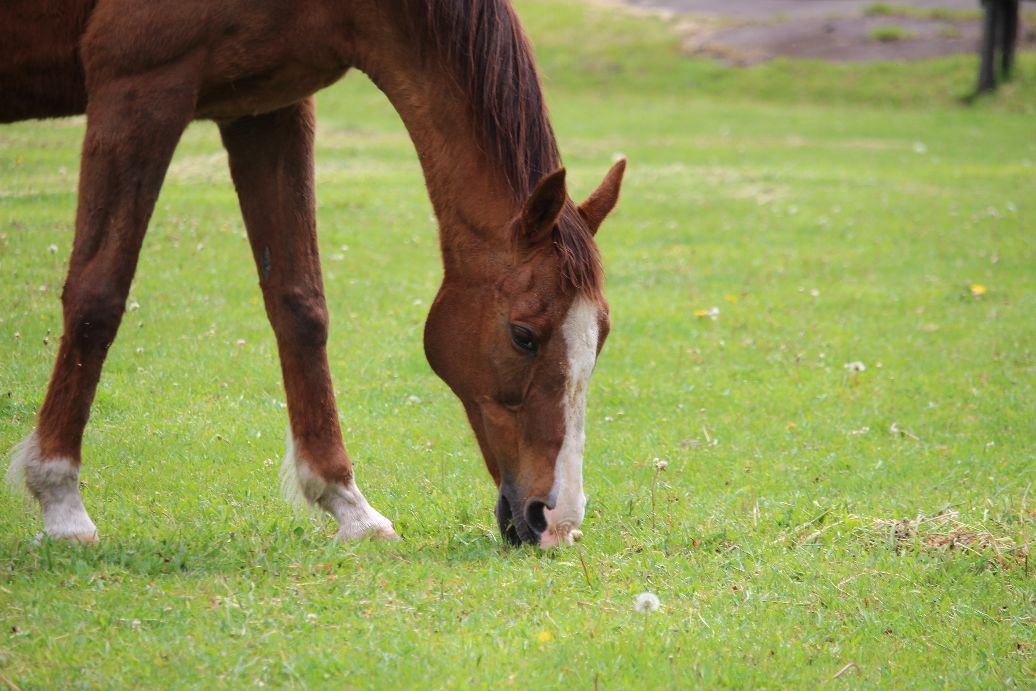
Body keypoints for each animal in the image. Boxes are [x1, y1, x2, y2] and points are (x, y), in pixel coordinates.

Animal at [2, 0, 621, 551]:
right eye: (523, 336)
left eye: (601, 340)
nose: (556, 521)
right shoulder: (138, 86)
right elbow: (97, 297)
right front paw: (61, 503)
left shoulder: (266, 107)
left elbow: (300, 306)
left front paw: (349, 506)